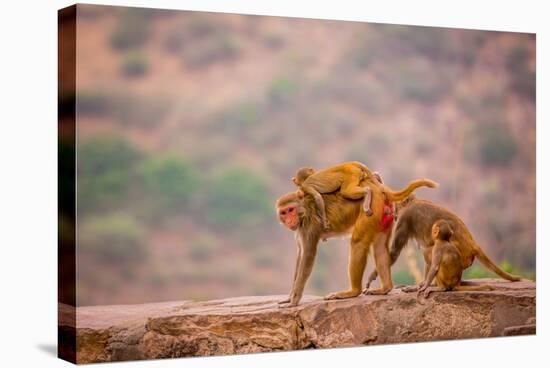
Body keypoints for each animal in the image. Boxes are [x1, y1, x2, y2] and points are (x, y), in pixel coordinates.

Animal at [278, 177, 438, 306]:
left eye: (291, 210)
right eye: (284, 212)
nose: (289, 221)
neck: (304, 210)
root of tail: (380, 190)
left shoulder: (309, 227)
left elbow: (308, 256)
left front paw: (294, 300)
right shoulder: (300, 230)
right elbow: (300, 255)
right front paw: (289, 297)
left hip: (371, 210)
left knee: (358, 242)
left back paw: (353, 291)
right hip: (383, 215)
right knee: (380, 247)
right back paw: (385, 288)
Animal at [366, 196, 520, 290]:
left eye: (396, 207)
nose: (394, 213)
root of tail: (474, 245)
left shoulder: (404, 218)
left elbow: (393, 253)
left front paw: (372, 278)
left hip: (461, 256)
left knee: (432, 250)